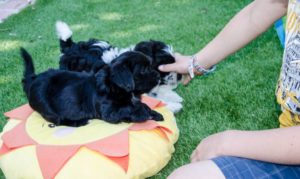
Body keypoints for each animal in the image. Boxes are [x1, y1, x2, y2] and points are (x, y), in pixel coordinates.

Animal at [20, 48, 163, 126]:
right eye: (143, 70)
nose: (158, 76)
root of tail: (33, 80)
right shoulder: (109, 111)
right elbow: (127, 109)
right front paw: (142, 113)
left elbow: (139, 104)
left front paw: (154, 113)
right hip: (46, 107)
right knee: (58, 119)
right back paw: (78, 122)